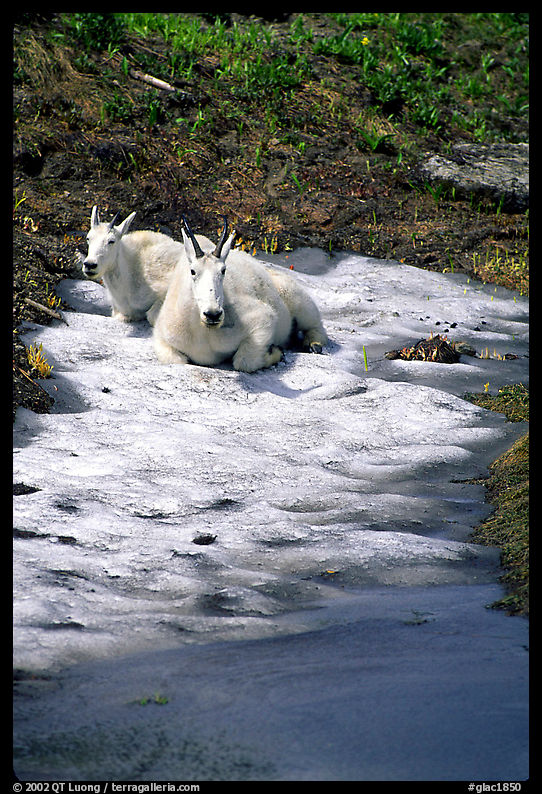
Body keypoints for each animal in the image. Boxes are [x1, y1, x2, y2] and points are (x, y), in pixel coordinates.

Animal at [153, 216, 327, 372]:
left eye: (223, 270)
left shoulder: (262, 320)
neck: (203, 331)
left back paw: (314, 344)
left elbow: (244, 361)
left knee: (315, 324)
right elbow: (176, 359)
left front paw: (275, 351)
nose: (213, 314)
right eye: (193, 271)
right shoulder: (162, 336)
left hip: (296, 297)